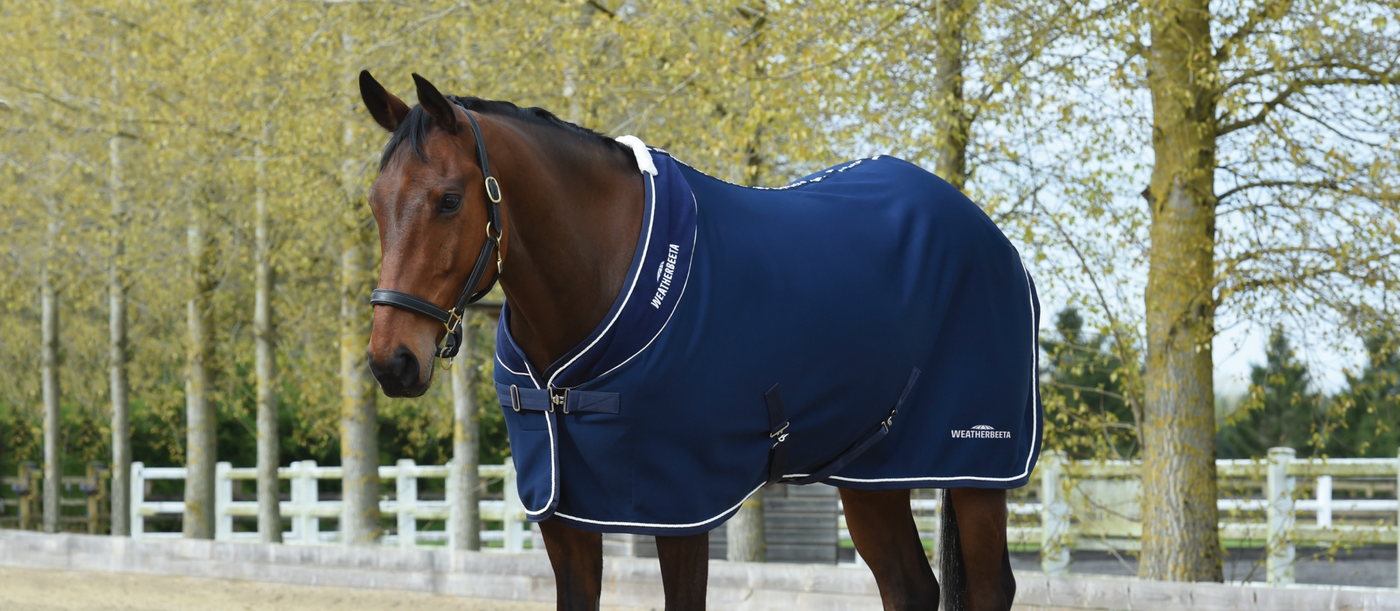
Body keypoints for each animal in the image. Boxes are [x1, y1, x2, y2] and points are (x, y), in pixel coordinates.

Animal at [360, 71, 1038, 611]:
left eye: (450, 200)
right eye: (374, 202)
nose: (393, 362)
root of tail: (988, 234)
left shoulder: (681, 507)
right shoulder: (562, 512)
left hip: (975, 470)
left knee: (989, 587)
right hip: (872, 472)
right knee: (909, 586)